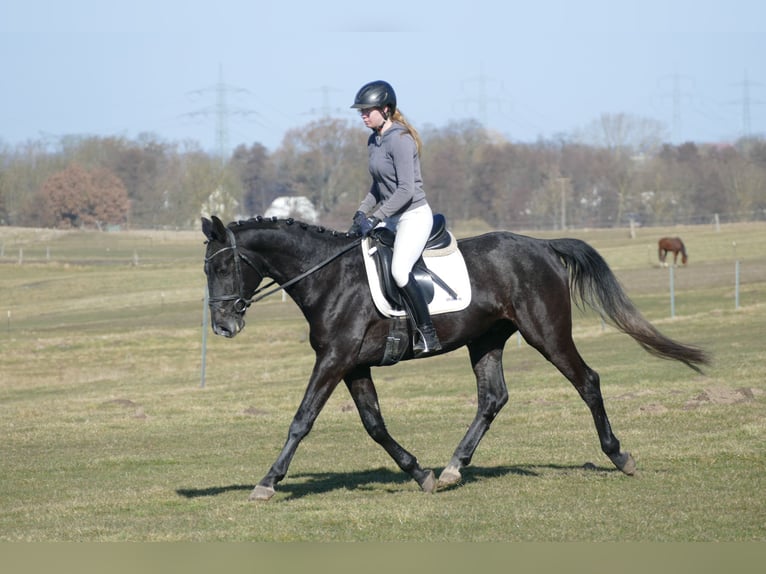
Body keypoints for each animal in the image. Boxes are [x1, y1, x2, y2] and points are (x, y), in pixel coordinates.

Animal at [202, 215, 709, 501]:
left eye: (223, 266)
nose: (223, 326)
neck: (330, 278)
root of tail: (543, 245)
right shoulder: (353, 364)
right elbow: (375, 424)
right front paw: (419, 473)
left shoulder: (334, 360)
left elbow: (302, 420)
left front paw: (268, 482)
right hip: (486, 340)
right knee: (492, 398)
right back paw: (450, 469)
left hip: (546, 333)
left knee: (587, 381)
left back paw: (619, 455)